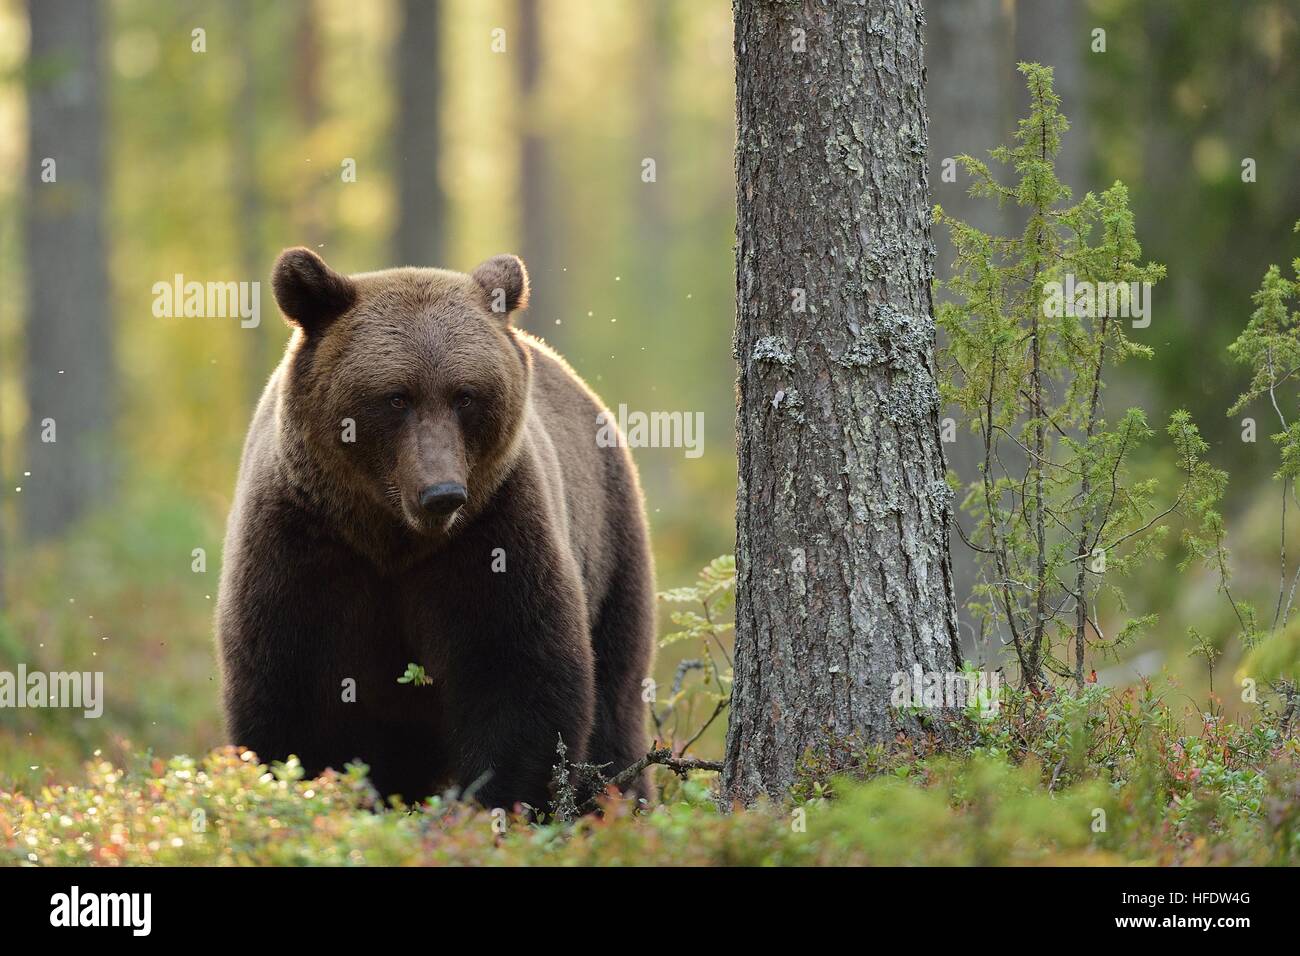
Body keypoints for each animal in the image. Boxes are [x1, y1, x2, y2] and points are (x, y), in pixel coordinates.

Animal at [215, 247, 655, 811]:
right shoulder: (303, 542)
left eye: (465, 395)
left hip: (611, 544)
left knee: (615, 705)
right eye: (396, 397)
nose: (441, 492)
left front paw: (490, 803)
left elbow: (518, 674)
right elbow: (291, 694)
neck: (390, 536)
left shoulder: (492, 534)